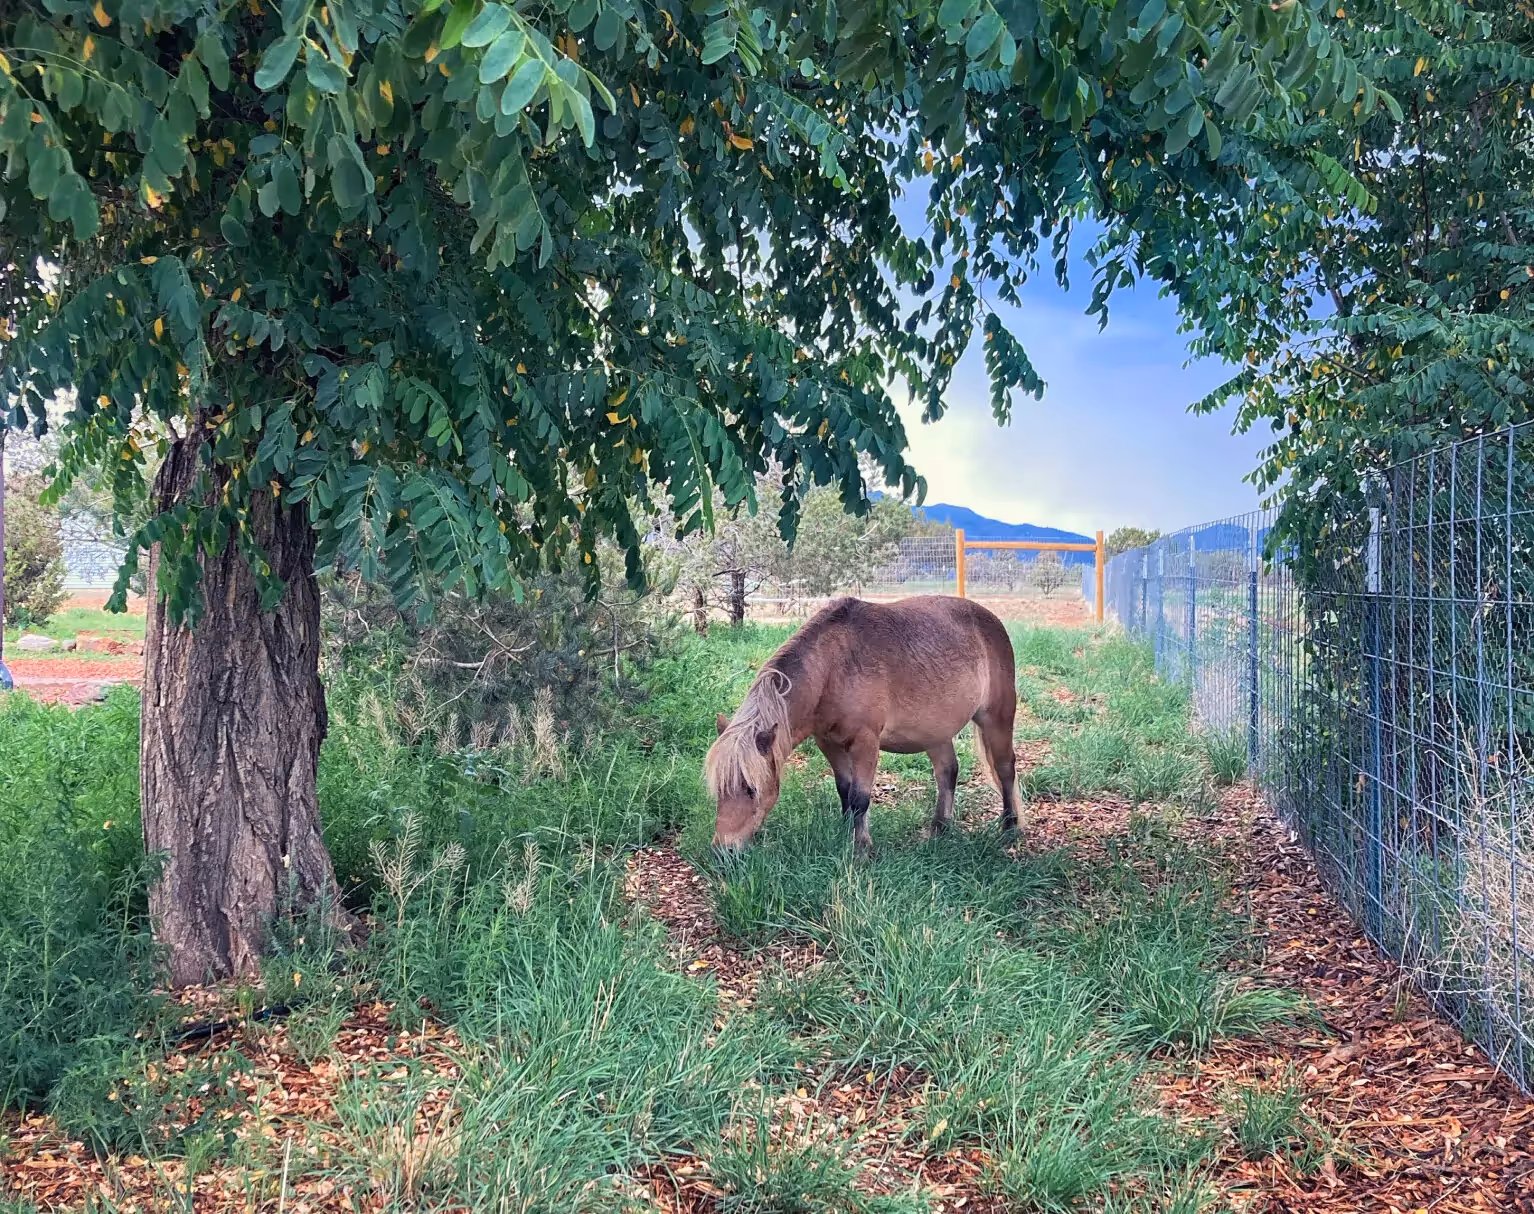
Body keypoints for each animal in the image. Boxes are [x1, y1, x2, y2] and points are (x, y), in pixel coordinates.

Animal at [705, 596, 1020, 855]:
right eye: (719, 789)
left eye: (751, 789)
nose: (723, 850)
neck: (832, 668)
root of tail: (991, 619)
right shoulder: (828, 743)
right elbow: (844, 790)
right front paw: (846, 835)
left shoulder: (866, 742)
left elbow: (860, 797)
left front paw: (861, 848)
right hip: (935, 732)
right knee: (947, 772)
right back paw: (940, 829)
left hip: (997, 718)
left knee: (1005, 768)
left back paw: (1010, 828)